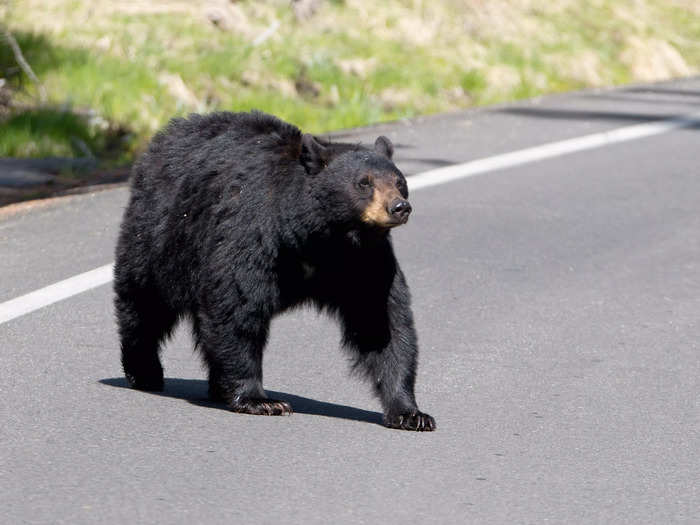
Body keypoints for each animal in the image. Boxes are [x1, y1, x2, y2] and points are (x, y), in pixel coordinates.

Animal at [113, 110, 434, 430]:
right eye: (363, 183)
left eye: (399, 181)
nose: (399, 207)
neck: (318, 237)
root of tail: (165, 136)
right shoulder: (253, 232)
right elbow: (237, 305)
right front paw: (260, 400)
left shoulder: (364, 260)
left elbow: (380, 320)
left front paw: (410, 412)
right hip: (162, 234)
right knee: (144, 302)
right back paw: (144, 371)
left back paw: (215, 385)